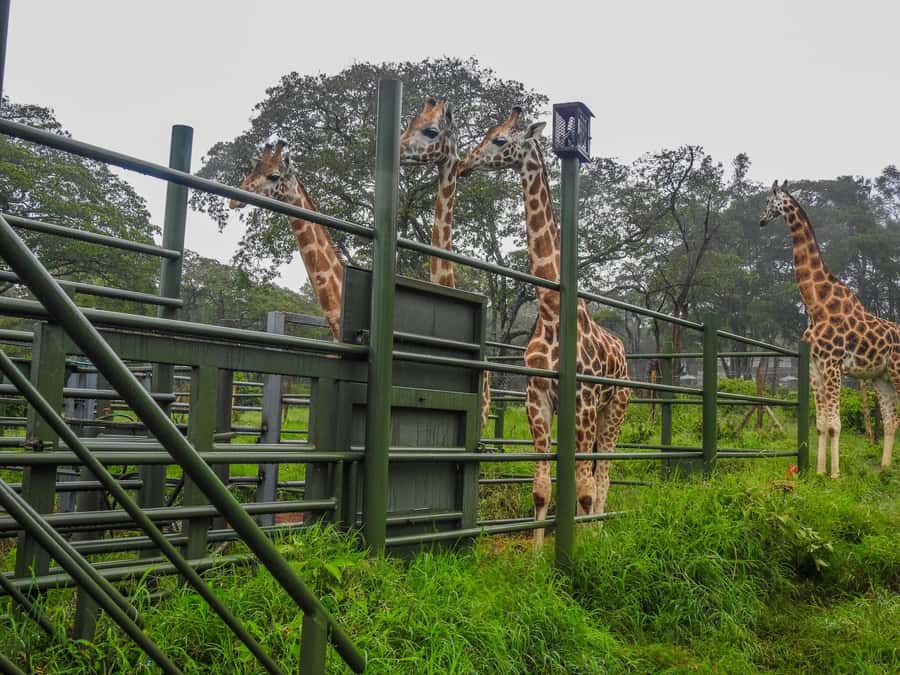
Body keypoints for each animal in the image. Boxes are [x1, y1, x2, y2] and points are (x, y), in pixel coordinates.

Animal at [459, 108, 631, 547]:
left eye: (501, 140)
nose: (466, 164)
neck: (552, 310)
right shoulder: (536, 400)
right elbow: (542, 488)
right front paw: (537, 553)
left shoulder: (584, 399)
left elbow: (585, 488)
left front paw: (584, 549)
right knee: (589, 476)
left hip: (614, 409)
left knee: (602, 478)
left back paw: (598, 532)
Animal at [760, 180, 899, 475]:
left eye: (767, 200)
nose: (761, 220)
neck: (817, 304)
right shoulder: (814, 367)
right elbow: (821, 424)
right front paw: (820, 471)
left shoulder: (833, 365)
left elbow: (835, 424)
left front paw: (835, 475)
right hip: (882, 377)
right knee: (892, 420)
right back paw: (885, 469)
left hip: (897, 370)